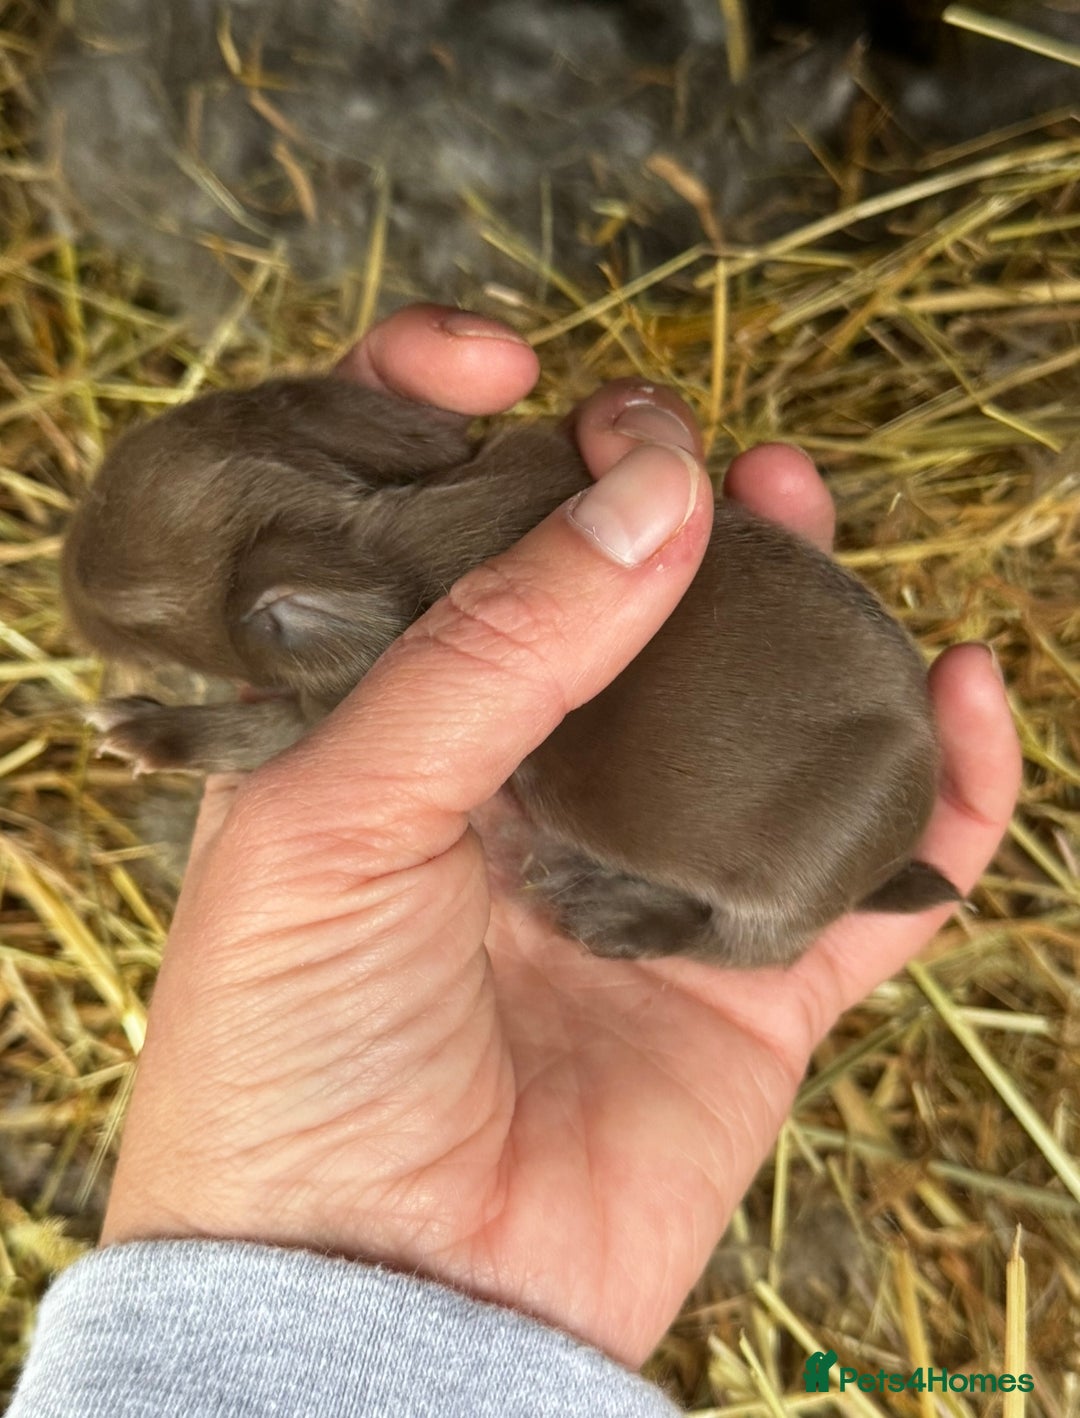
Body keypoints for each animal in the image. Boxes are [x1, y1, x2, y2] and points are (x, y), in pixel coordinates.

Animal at [61, 373, 959, 966]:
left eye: (130, 609)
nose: (59, 578)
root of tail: (896, 856)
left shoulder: (333, 702)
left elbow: (253, 732)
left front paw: (135, 728)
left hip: (800, 870)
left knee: (749, 949)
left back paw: (611, 914)